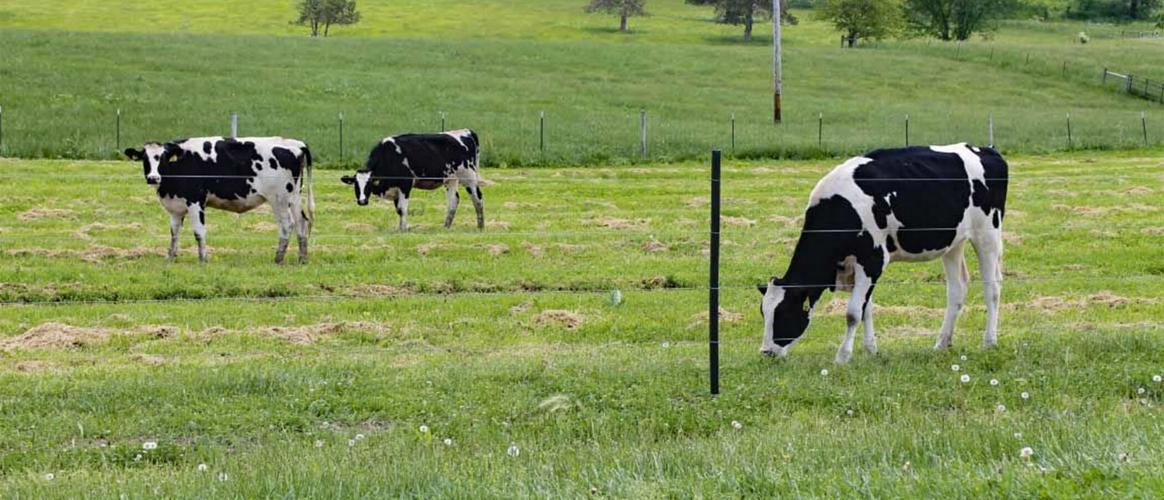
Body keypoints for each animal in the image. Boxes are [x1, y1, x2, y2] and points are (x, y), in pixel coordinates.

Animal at [123, 137, 314, 264]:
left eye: (162, 158)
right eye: (145, 159)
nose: (153, 178)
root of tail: (296, 144)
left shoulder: (196, 201)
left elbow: (199, 232)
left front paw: (203, 259)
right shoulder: (176, 208)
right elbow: (174, 233)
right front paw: (170, 258)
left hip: (279, 199)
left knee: (287, 225)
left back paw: (278, 258)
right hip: (294, 197)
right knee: (301, 222)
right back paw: (302, 258)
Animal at [341, 129, 483, 231]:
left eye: (368, 184)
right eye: (356, 185)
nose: (362, 201)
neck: (390, 156)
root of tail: (467, 131)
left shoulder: (405, 185)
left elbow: (402, 208)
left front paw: (404, 229)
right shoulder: (396, 189)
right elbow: (398, 210)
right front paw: (401, 227)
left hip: (469, 177)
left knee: (477, 198)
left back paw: (480, 226)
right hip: (451, 179)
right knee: (453, 201)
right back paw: (446, 227)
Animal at [758, 143, 1008, 364]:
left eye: (783, 314)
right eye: (763, 312)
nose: (767, 352)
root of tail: (987, 150)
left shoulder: (872, 260)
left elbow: (853, 313)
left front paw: (842, 357)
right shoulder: (858, 267)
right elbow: (865, 309)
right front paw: (871, 350)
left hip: (988, 233)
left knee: (993, 287)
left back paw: (989, 342)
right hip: (953, 241)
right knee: (957, 288)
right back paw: (941, 343)